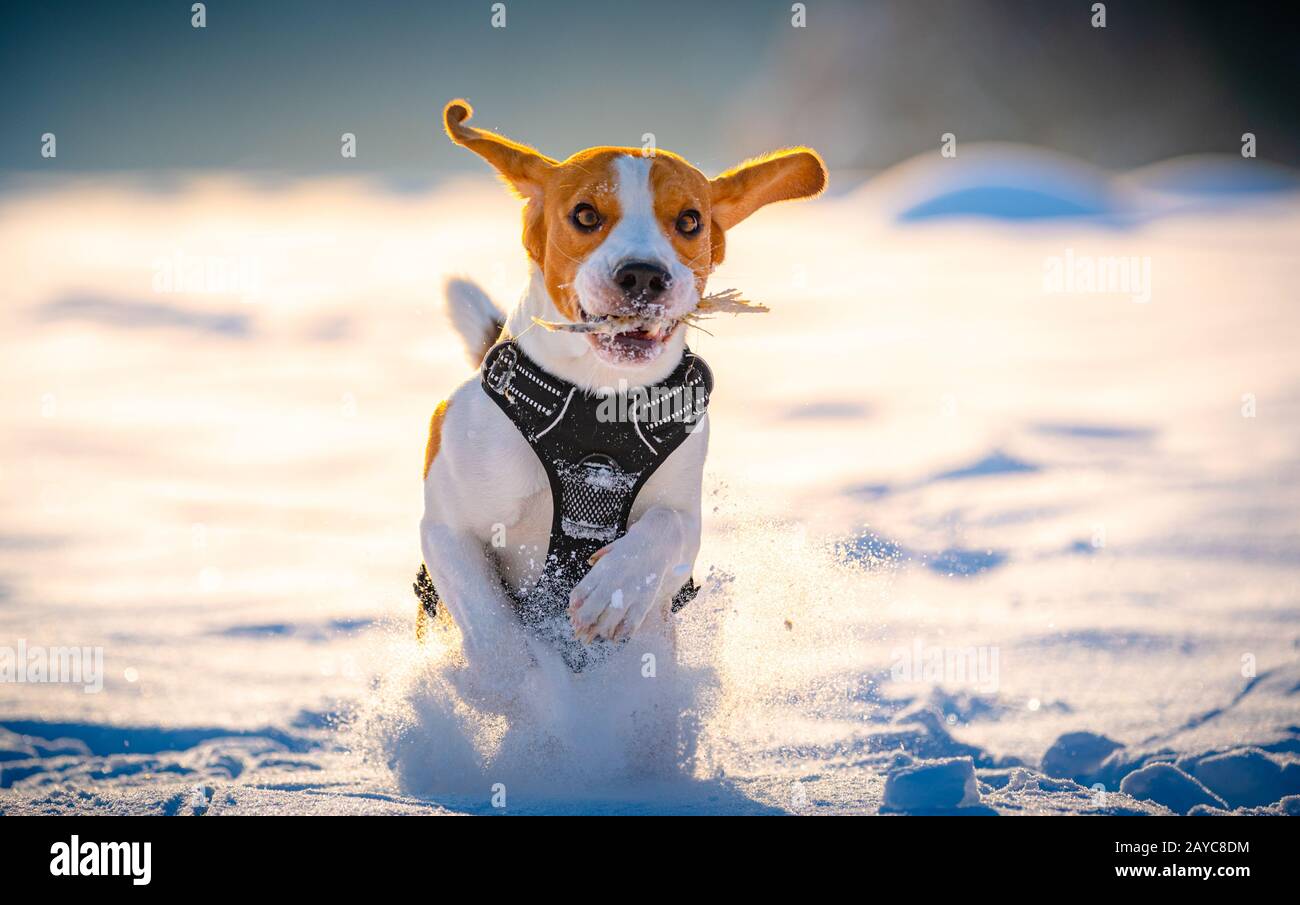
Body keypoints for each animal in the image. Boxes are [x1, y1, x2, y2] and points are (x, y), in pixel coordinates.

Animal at [416, 98, 821, 676]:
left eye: (690, 220)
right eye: (585, 215)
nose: (644, 275)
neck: (598, 401)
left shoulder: (683, 520)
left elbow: (669, 525)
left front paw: (615, 592)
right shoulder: (447, 530)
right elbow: (491, 622)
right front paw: (516, 683)